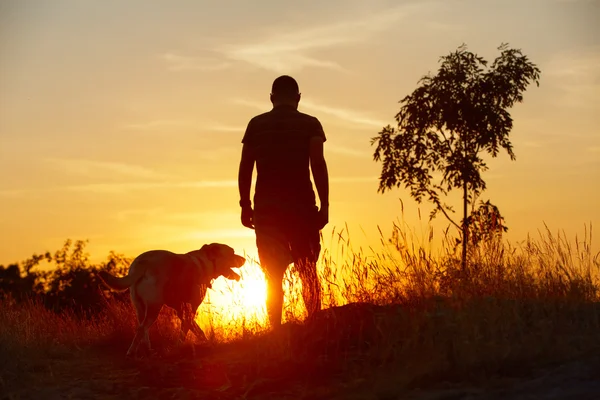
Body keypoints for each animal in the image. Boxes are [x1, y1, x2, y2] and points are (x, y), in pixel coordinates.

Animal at [98, 241, 244, 356]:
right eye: (232, 252)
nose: (244, 259)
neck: (205, 262)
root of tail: (142, 262)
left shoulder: (180, 309)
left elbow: (195, 328)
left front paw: (205, 342)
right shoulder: (191, 307)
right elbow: (186, 330)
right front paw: (179, 347)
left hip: (140, 308)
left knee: (142, 329)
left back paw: (148, 350)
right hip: (154, 308)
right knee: (141, 329)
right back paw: (131, 352)